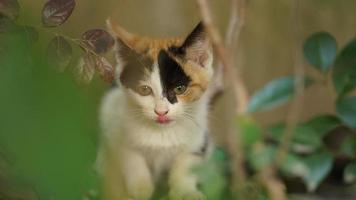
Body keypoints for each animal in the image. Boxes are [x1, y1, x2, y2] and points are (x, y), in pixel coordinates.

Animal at [96, 19, 214, 200]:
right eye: (145, 89)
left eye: (180, 89)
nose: (161, 111)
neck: (162, 134)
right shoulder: (114, 123)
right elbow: (131, 158)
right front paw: (140, 190)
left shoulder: (199, 138)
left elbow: (187, 163)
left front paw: (186, 191)